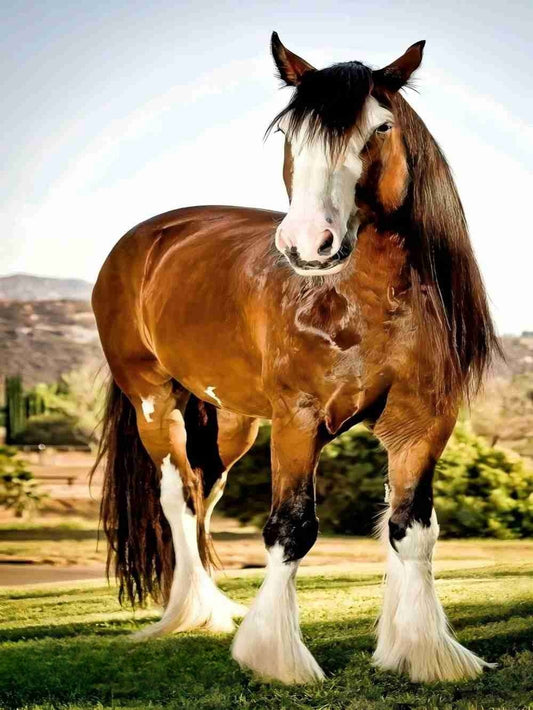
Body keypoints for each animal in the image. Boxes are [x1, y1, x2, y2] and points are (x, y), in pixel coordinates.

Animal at [92, 33, 499, 685]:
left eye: (381, 127)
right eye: (289, 131)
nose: (309, 243)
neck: (365, 301)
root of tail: (145, 239)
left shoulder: (422, 424)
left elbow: (411, 530)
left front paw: (423, 652)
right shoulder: (298, 420)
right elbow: (290, 529)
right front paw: (276, 657)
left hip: (231, 422)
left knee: (205, 493)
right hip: (153, 401)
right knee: (178, 497)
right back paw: (196, 613)